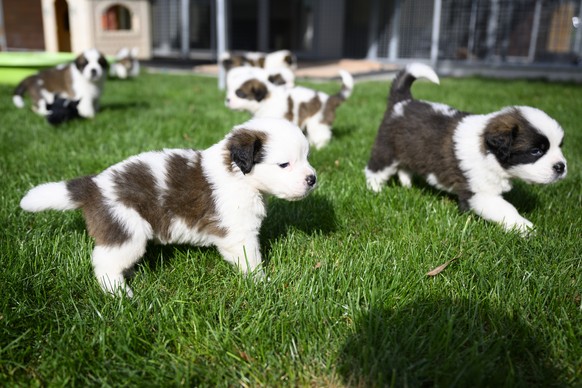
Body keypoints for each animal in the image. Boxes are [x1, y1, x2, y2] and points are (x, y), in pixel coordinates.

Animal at [21, 116, 320, 296]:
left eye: (307, 157)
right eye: (284, 164)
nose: (312, 179)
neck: (238, 174)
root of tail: (94, 185)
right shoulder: (239, 234)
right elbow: (251, 261)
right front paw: (262, 283)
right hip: (127, 228)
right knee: (104, 263)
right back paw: (119, 293)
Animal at [368, 62, 568, 235]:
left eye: (559, 146)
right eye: (536, 151)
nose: (561, 167)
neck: (490, 153)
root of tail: (402, 103)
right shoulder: (479, 194)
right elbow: (506, 208)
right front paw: (524, 227)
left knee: (404, 167)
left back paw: (407, 185)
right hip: (386, 149)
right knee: (374, 169)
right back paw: (375, 190)